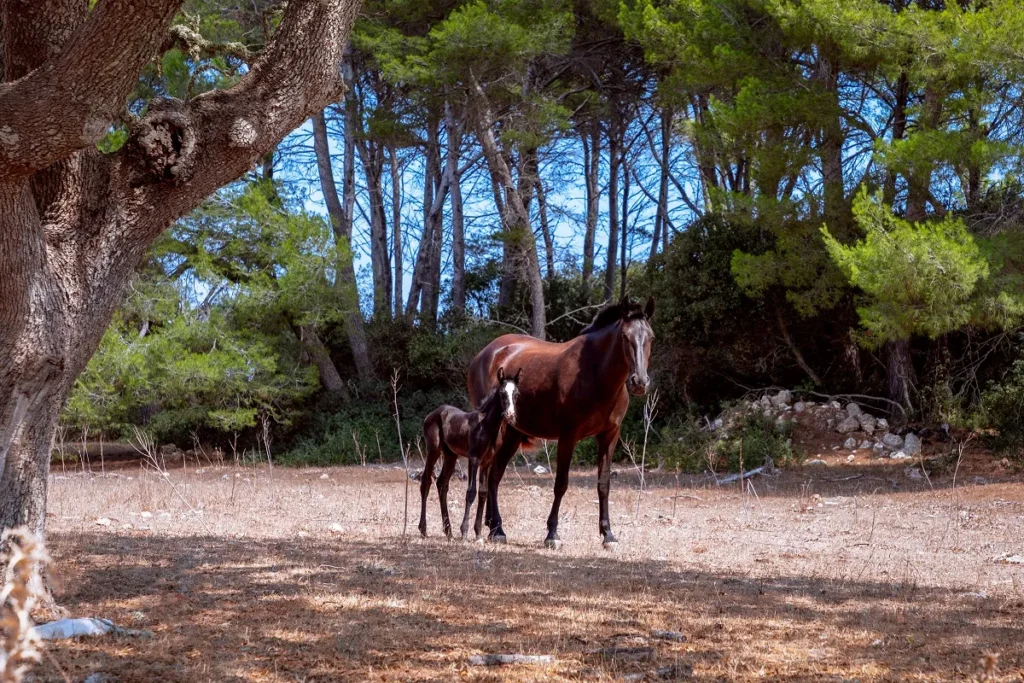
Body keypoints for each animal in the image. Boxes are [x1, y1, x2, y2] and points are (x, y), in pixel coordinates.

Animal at [418, 366, 522, 540]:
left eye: (516, 393)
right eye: (502, 393)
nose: (510, 415)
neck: (487, 426)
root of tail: (431, 415)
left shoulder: (487, 461)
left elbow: (483, 492)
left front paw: (478, 533)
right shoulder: (474, 459)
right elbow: (471, 492)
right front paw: (465, 531)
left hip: (450, 456)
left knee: (442, 484)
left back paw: (448, 531)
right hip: (433, 449)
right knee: (426, 481)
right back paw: (423, 529)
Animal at [467, 296, 655, 549]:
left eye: (651, 337)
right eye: (625, 337)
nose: (639, 382)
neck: (594, 372)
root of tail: (485, 354)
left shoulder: (609, 436)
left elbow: (603, 484)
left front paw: (608, 535)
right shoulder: (568, 436)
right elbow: (561, 484)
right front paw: (552, 534)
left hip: (513, 434)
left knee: (494, 475)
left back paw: (494, 527)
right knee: (490, 474)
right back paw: (496, 529)